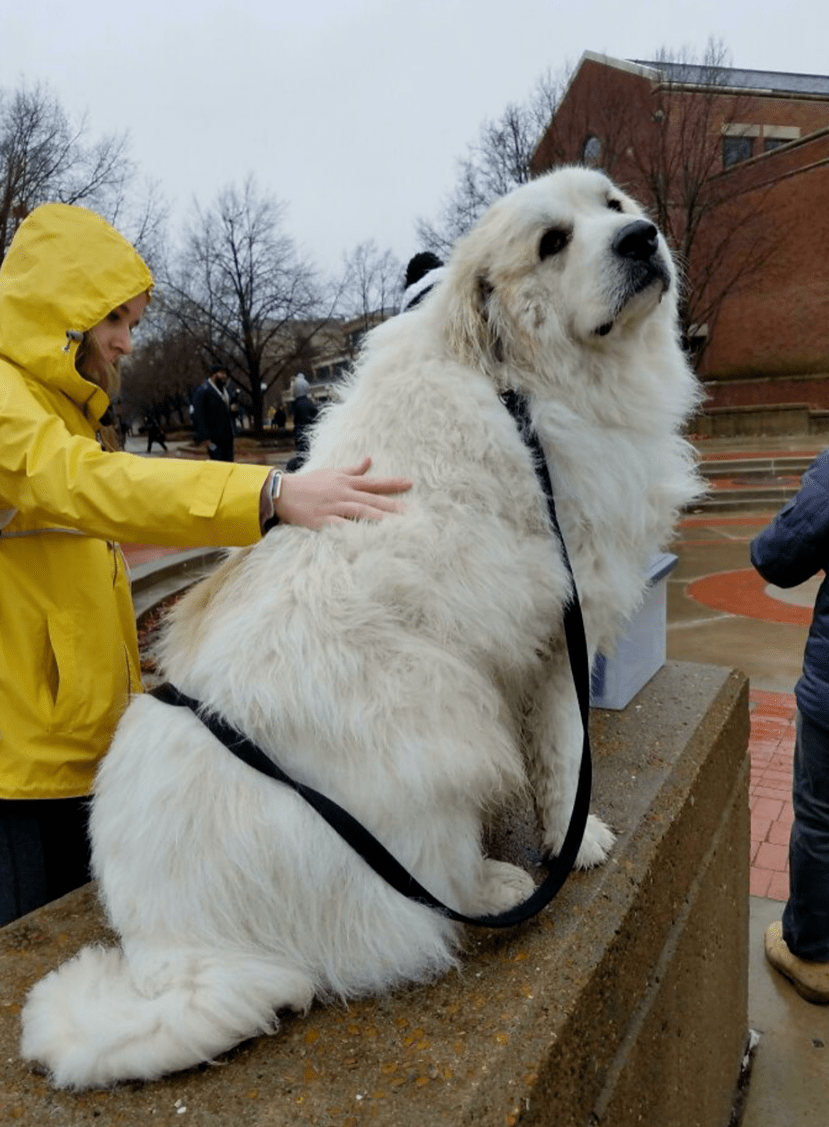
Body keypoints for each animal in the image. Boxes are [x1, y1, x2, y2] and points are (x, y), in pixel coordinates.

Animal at [21, 164, 698, 1081]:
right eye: (552, 243)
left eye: (614, 207)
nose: (642, 238)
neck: (518, 383)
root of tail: (177, 947)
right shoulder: (563, 625)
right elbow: (565, 751)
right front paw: (573, 839)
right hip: (437, 712)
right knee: (422, 909)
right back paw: (498, 884)